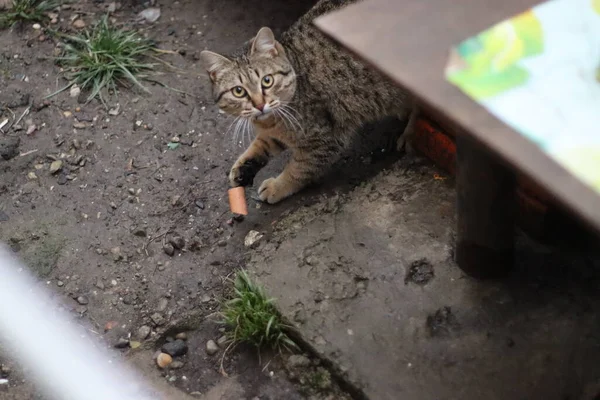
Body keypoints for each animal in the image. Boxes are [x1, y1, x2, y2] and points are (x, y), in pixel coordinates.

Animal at [202, 0, 418, 205]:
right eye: (239, 91)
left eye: (267, 80)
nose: (259, 104)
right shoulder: (279, 131)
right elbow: (261, 144)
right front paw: (243, 167)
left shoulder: (323, 137)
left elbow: (300, 168)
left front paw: (278, 186)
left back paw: (411, 132)